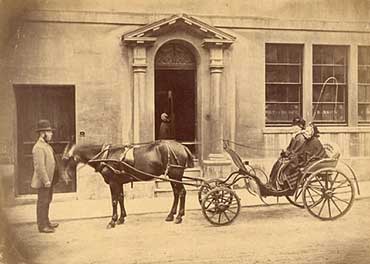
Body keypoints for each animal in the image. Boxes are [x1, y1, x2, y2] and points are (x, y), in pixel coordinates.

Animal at [60, 139, 194, 228]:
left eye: (65, 159)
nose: (65, 179)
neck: (105, 156)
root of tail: (182, 147)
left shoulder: (113, 182)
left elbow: (114, 201)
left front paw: (112, 221)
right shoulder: (119, 182)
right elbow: (121, 198)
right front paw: (121, 218)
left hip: (175, 174)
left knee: (182, 192)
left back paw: (179, 216)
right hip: (172, 176)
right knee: (176, 193)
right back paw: (171, 215)